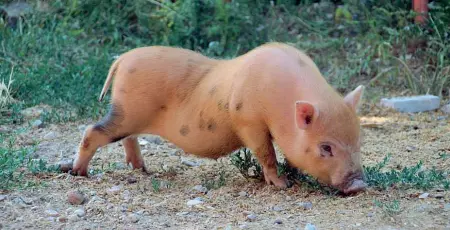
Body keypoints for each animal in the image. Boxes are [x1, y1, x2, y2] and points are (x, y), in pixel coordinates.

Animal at [71, 41, 366, 194]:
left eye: (358, 141)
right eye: (326, 147)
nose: (359, 184)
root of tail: (122, 59)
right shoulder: (248, 120)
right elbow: (266, 153)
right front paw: (282, 184)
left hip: (130, 114)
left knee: (126, 138)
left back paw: (142, 169)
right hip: (127, 112)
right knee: (92, 131)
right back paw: (78, 173)